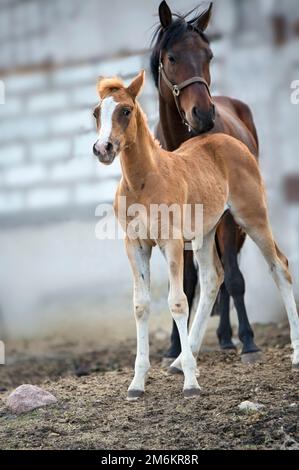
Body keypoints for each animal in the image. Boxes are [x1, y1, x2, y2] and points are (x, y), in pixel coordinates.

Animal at [93, 71, 299, 398]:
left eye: (125, 110)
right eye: (96, 112)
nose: (103, 149)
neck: (142, 182)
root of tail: (233, 141)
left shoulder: (172, 242)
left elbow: (177, 301)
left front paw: (191, 384)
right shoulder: (135, 244)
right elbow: (141, 305)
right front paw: (137, 384)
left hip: (251, 216)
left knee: (279, 266)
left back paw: (295, 354)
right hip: (207, 231)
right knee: (213, 277)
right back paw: (180, 361)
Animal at [151, 0, 262, 364]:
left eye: (209, 55)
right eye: (171, 57)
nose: (203, 114)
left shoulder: (225, 218)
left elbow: (233, 277)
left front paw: (249, 343)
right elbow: (184, 284)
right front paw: (175, 347)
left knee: (228, 274)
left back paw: (230, 338)